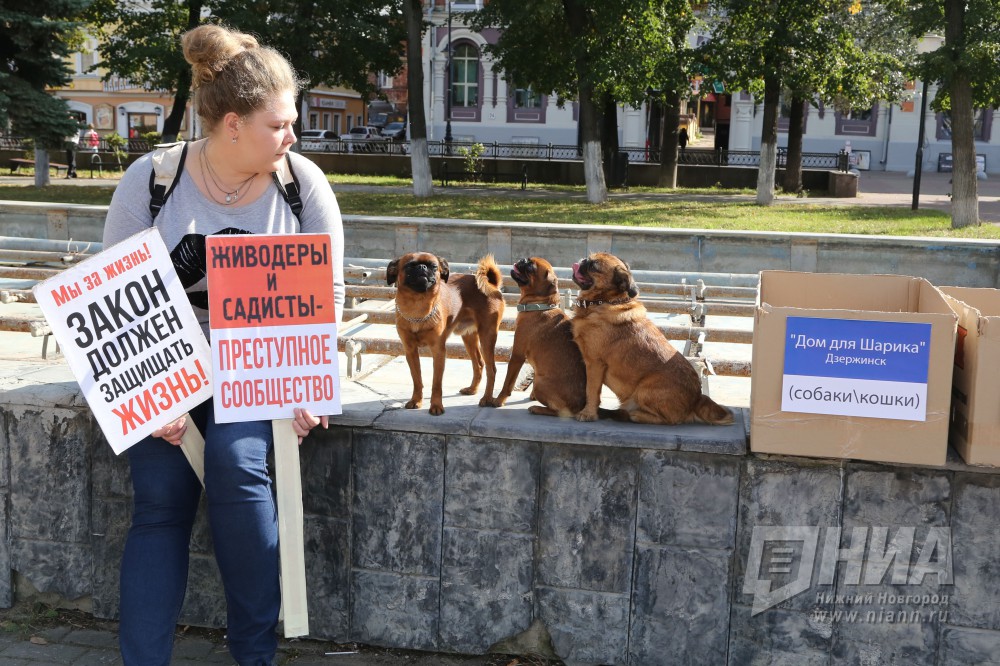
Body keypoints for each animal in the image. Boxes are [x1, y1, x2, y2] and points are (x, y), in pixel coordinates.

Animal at [386, 252, 504, 412]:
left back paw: (486, 398)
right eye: (410, 265)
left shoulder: (438, 351)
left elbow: (436, 383)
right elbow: (417, 379)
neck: (417, 307)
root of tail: (492, 285)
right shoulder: (410, 351)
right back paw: (472, 389)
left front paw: (436, 406)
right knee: (479, 364)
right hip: (469, 337)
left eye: (434, 266)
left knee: (492, 369)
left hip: (487, 336)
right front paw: (416, 400)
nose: (422, 267)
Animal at [490, 255, 588, 416]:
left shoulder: (517, 355)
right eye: (527, 261)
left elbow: (508, 383)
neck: (539, 306)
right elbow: (534, 371)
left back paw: (538, 408)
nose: (523, 260)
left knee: (559, 412)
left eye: (531, 268)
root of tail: (581, 406)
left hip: (539, 384)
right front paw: (531, 396)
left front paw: (499, 400)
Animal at [572, 252, 736, 422]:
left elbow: (591, 391)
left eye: (593, 266)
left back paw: (634, 414)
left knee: (666, 419)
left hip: (644, 390)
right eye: (589, 259)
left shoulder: (594, 363)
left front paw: (588, 413)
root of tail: (697, 399)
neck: (605, 301)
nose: (584, 260)